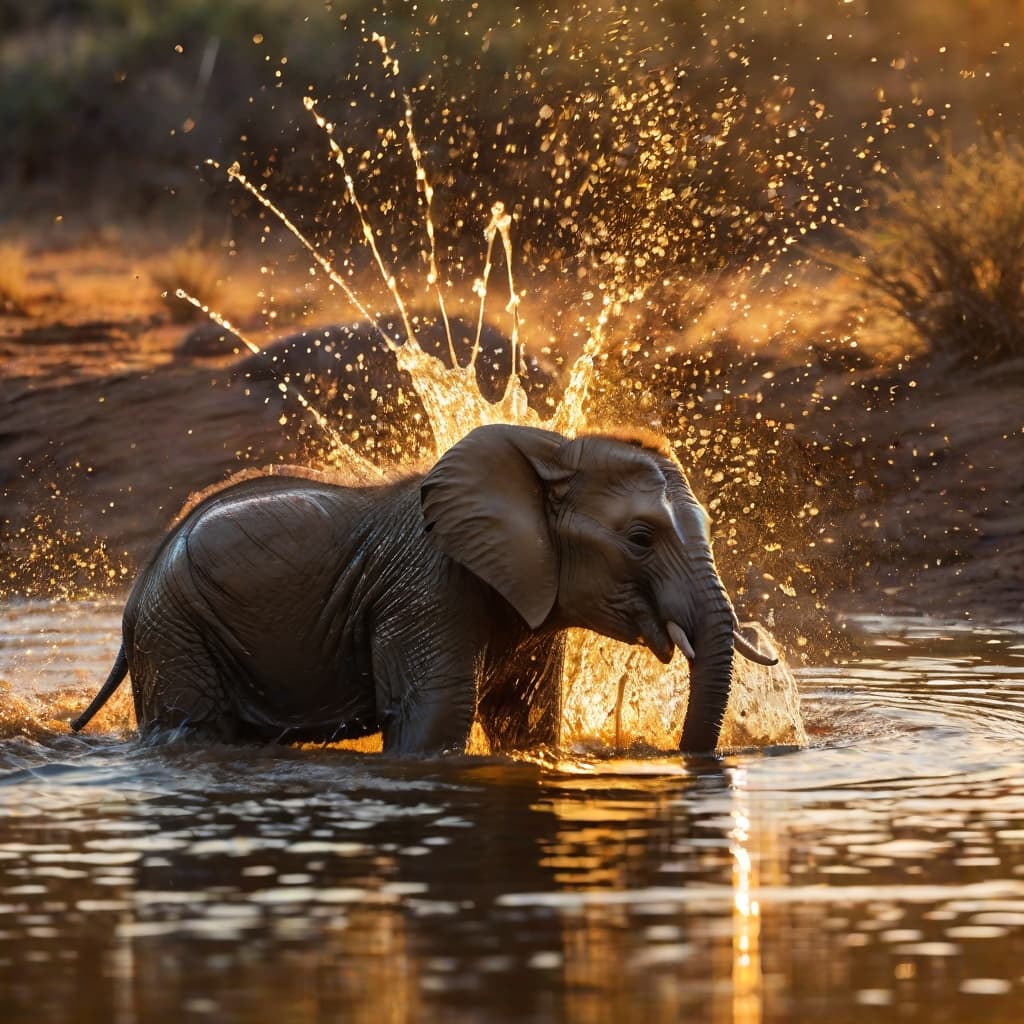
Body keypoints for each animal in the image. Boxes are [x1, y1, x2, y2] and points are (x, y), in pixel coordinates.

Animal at [71, 424, 775, 754]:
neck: (551, 450)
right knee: (194, 729)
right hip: (177, 631)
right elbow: (432, 720)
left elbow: (527, 728)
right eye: (640, 538)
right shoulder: (427, 593)